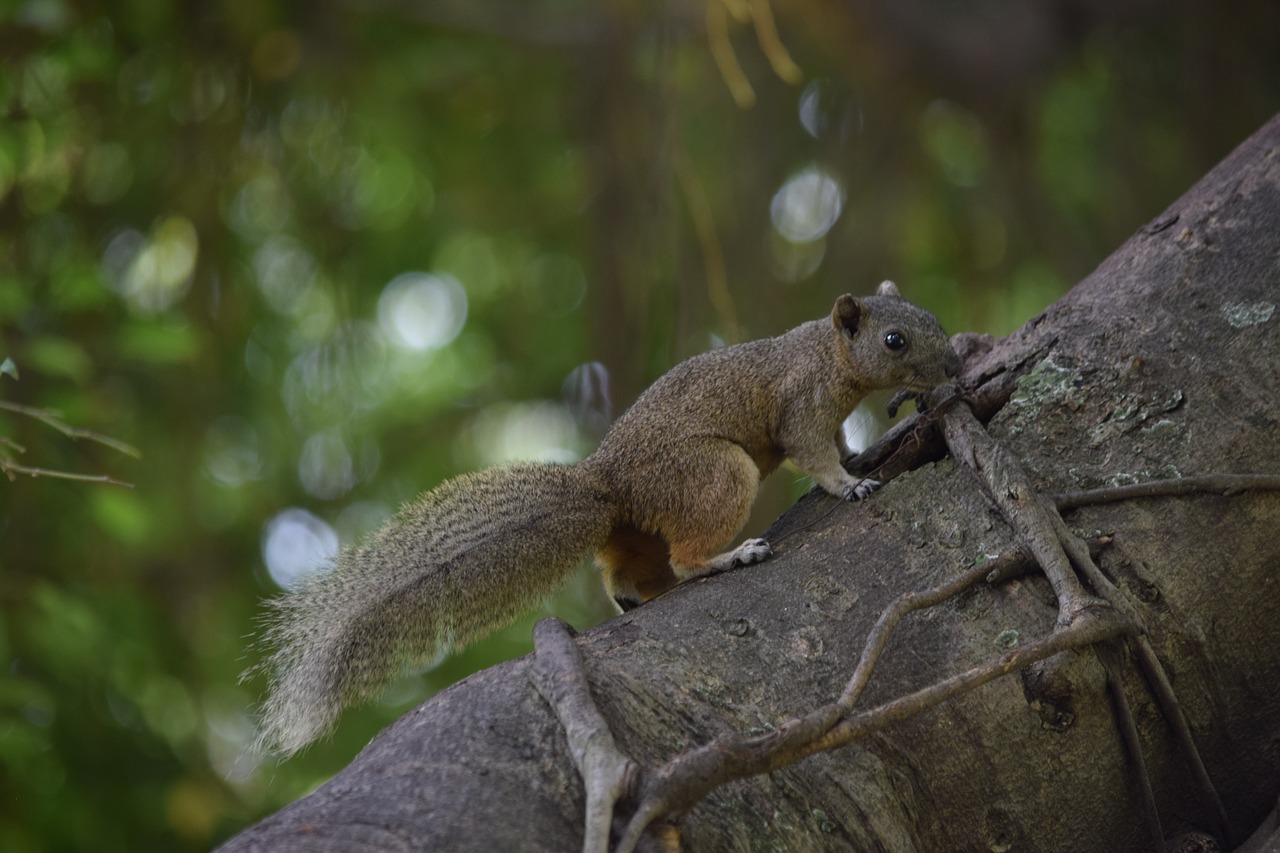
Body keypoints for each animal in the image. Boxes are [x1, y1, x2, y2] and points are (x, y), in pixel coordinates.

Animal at [249, 281, 962, 753]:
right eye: (894, 339)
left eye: (930, 313)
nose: (954, 364)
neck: (826, 353)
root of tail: (609, 485)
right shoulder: (800, 405)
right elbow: (816, 454)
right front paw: (850, 483)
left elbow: (837, 441)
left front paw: (860, 452)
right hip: (714, 475)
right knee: (685, 557)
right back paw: (730, 557)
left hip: (640, 527)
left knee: (629, 570)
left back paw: (636, 594)